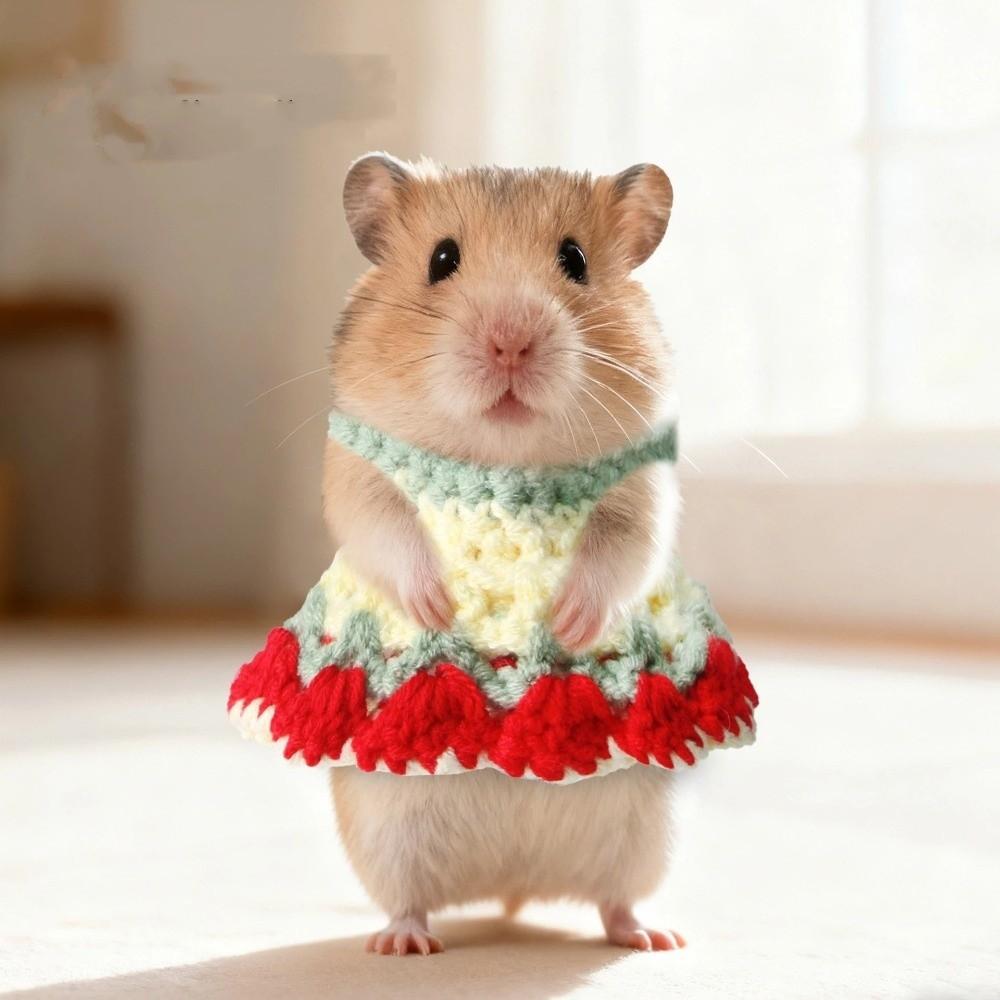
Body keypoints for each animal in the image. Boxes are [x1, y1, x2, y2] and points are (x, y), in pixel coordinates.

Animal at [325, 153, 683, 955]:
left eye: (575, 260)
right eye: (441, 259)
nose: (511, 343)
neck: (506, 462)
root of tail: (511, 882)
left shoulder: (642, 494)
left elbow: (618, 554)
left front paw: (568, 621)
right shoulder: (358, 480)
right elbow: (390, 535)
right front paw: (440, 606)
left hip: (645, 832)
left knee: (616, 899)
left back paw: (651, 938)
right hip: (385, 828)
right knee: (407, 899)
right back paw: (404, 945)